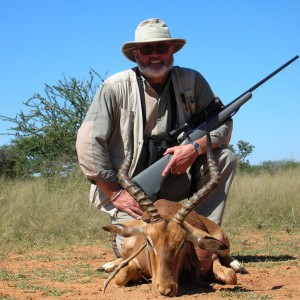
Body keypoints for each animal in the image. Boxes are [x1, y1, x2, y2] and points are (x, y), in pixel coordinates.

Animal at [101, 126, 246, 296]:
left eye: (182, 243)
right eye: (149, 241)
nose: (165, 290)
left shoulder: (213, 259)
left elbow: (231, 276)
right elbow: (121, 276)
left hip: (222, 242)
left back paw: (239, 265)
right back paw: (107, 265)